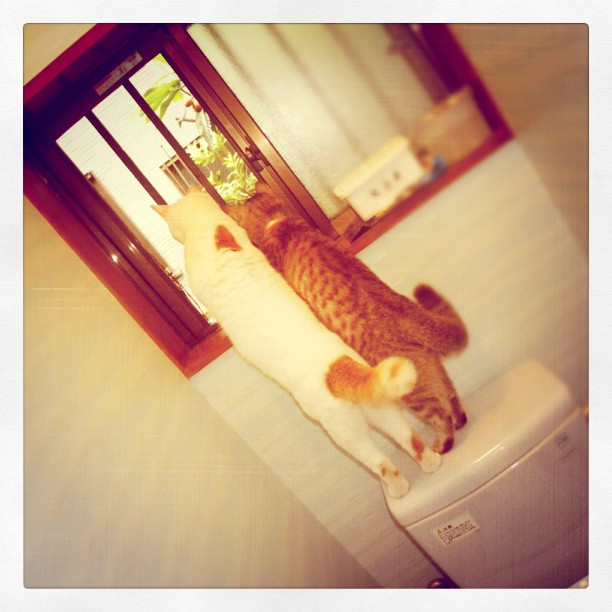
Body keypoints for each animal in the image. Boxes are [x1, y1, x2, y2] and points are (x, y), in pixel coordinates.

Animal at [153, 188, 442, 498]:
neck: (211, 232)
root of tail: (337, 366)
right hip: (383, 410)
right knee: (410, 439)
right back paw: (431, 462)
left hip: (345, 433)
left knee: (382, 464)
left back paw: (397, 488)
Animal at [223, 183, 469, 454]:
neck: (276, 221)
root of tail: (414, 314)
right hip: (434, 371)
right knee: (451, 395)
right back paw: (460, 420)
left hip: (416, 394)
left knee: (440, 414)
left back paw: (442, 443)